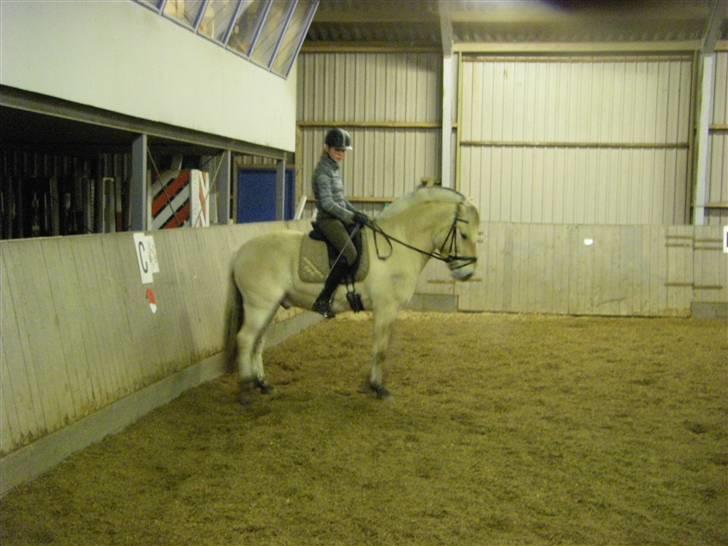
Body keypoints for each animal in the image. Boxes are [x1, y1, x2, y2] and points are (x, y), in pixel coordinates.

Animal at [230, 185, 480, 402]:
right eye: (463, 235)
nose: (467, 273)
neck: (400, 244)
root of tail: (240, 252)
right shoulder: (385, 308)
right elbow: (380, 350)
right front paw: (378, 388)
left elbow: (382, 348)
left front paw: (370, 384)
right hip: (259, 306)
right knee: (245, 339)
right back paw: (245, 391)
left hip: (271, 307)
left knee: (258, 342)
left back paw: (262, 384)